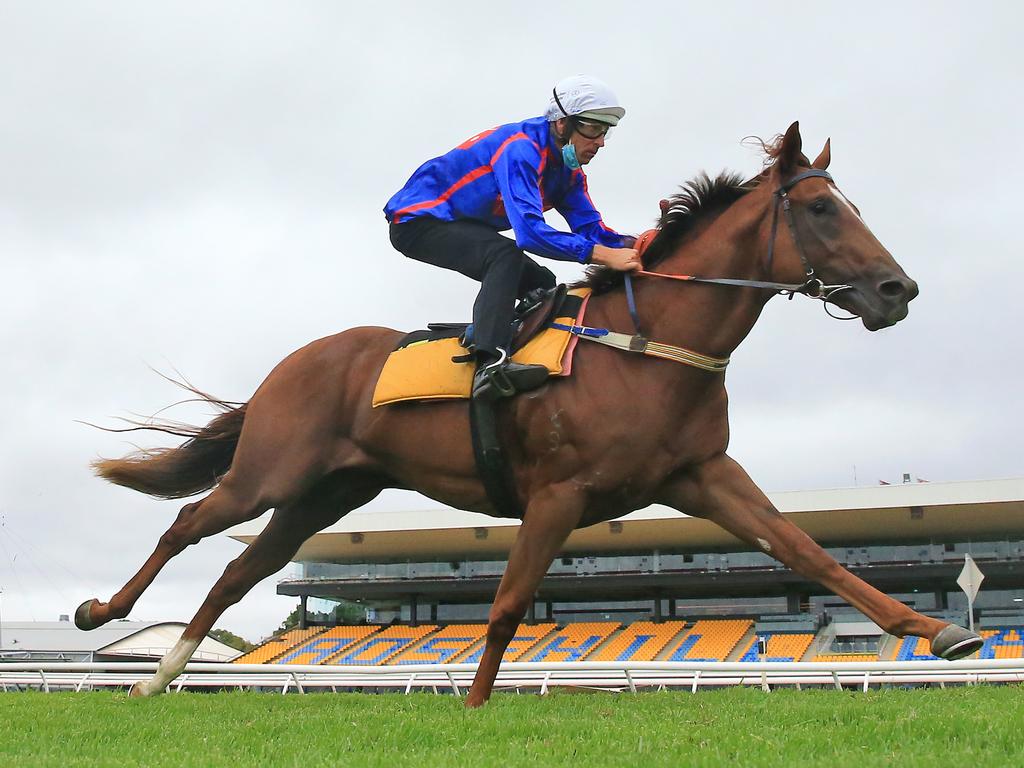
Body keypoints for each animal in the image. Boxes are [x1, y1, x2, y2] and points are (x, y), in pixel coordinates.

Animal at [75, 123, 978, 708]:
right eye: (823, 210)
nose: (898, 289)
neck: (647, 344)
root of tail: (293, 364)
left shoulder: (701, 474)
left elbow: (808, 551)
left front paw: (938, 633)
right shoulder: (558, 492)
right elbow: (508, 604)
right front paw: (473, 707)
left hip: (325, 494)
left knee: (237, 571)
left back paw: (160, 676)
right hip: (271, 472)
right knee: (189, 524)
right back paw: (102, 615)